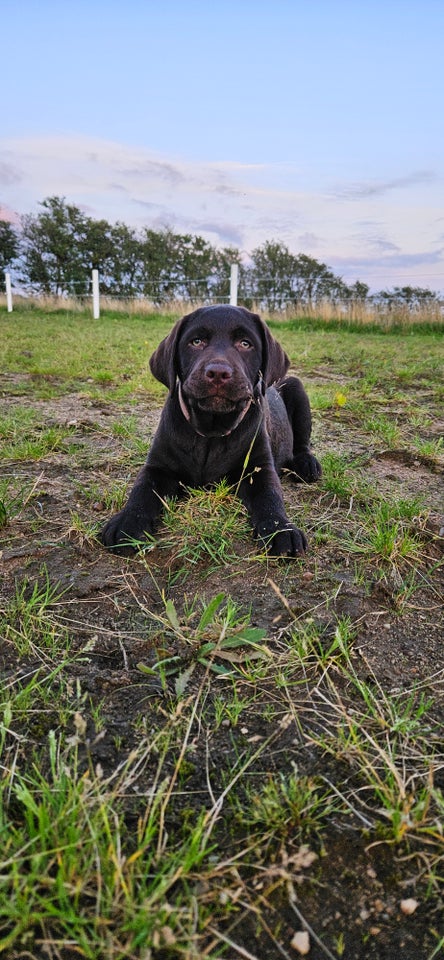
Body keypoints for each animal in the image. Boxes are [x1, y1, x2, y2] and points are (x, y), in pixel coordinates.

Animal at [101, 304, 320, 560]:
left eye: (245, 343)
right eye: (196, 341)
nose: (218, 372)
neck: (211, 431)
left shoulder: (258, 469)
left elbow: (270, 496)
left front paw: (281, 529)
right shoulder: (158, 467)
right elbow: (142, 490)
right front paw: (127, 522)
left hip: (296, 386)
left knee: (302, 444)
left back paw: (307, 464)